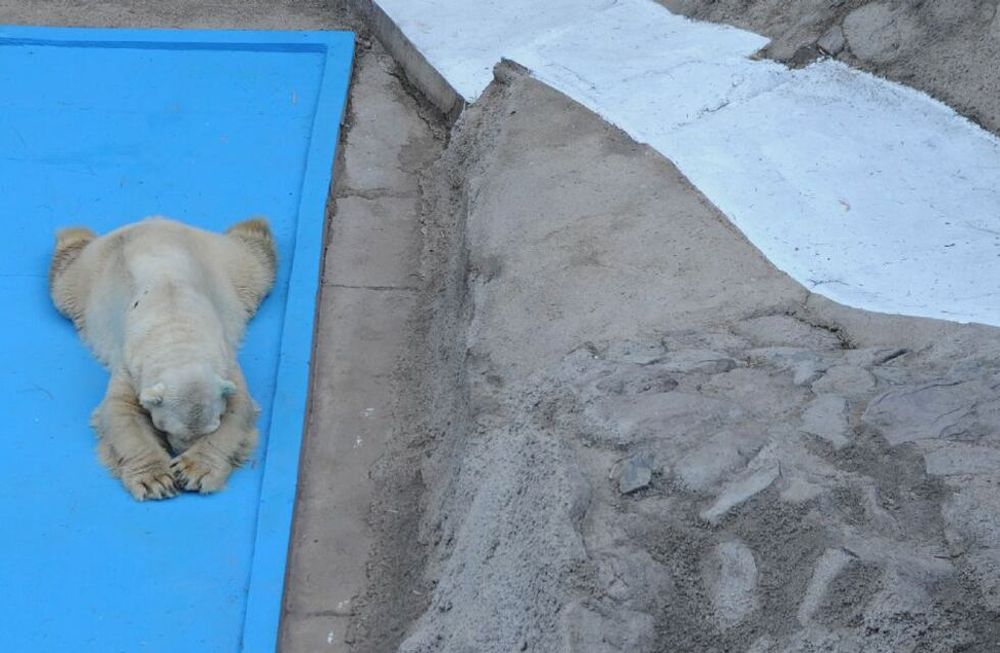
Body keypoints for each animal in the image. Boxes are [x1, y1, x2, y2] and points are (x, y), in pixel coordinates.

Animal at [49, 216, 277, 500]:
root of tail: (152, 222)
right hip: (90, 276)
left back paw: (254, 227)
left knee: (255, 264)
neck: (176, 336)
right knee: (65, 279)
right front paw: (156, 480)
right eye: (167, 428)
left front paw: (192, 470)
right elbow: (122, 412)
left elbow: (239, 408)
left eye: (211, 427)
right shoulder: (131, 366)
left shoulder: (225, 361)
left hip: (222, 264)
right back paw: (71, 236)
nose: (179, 451)